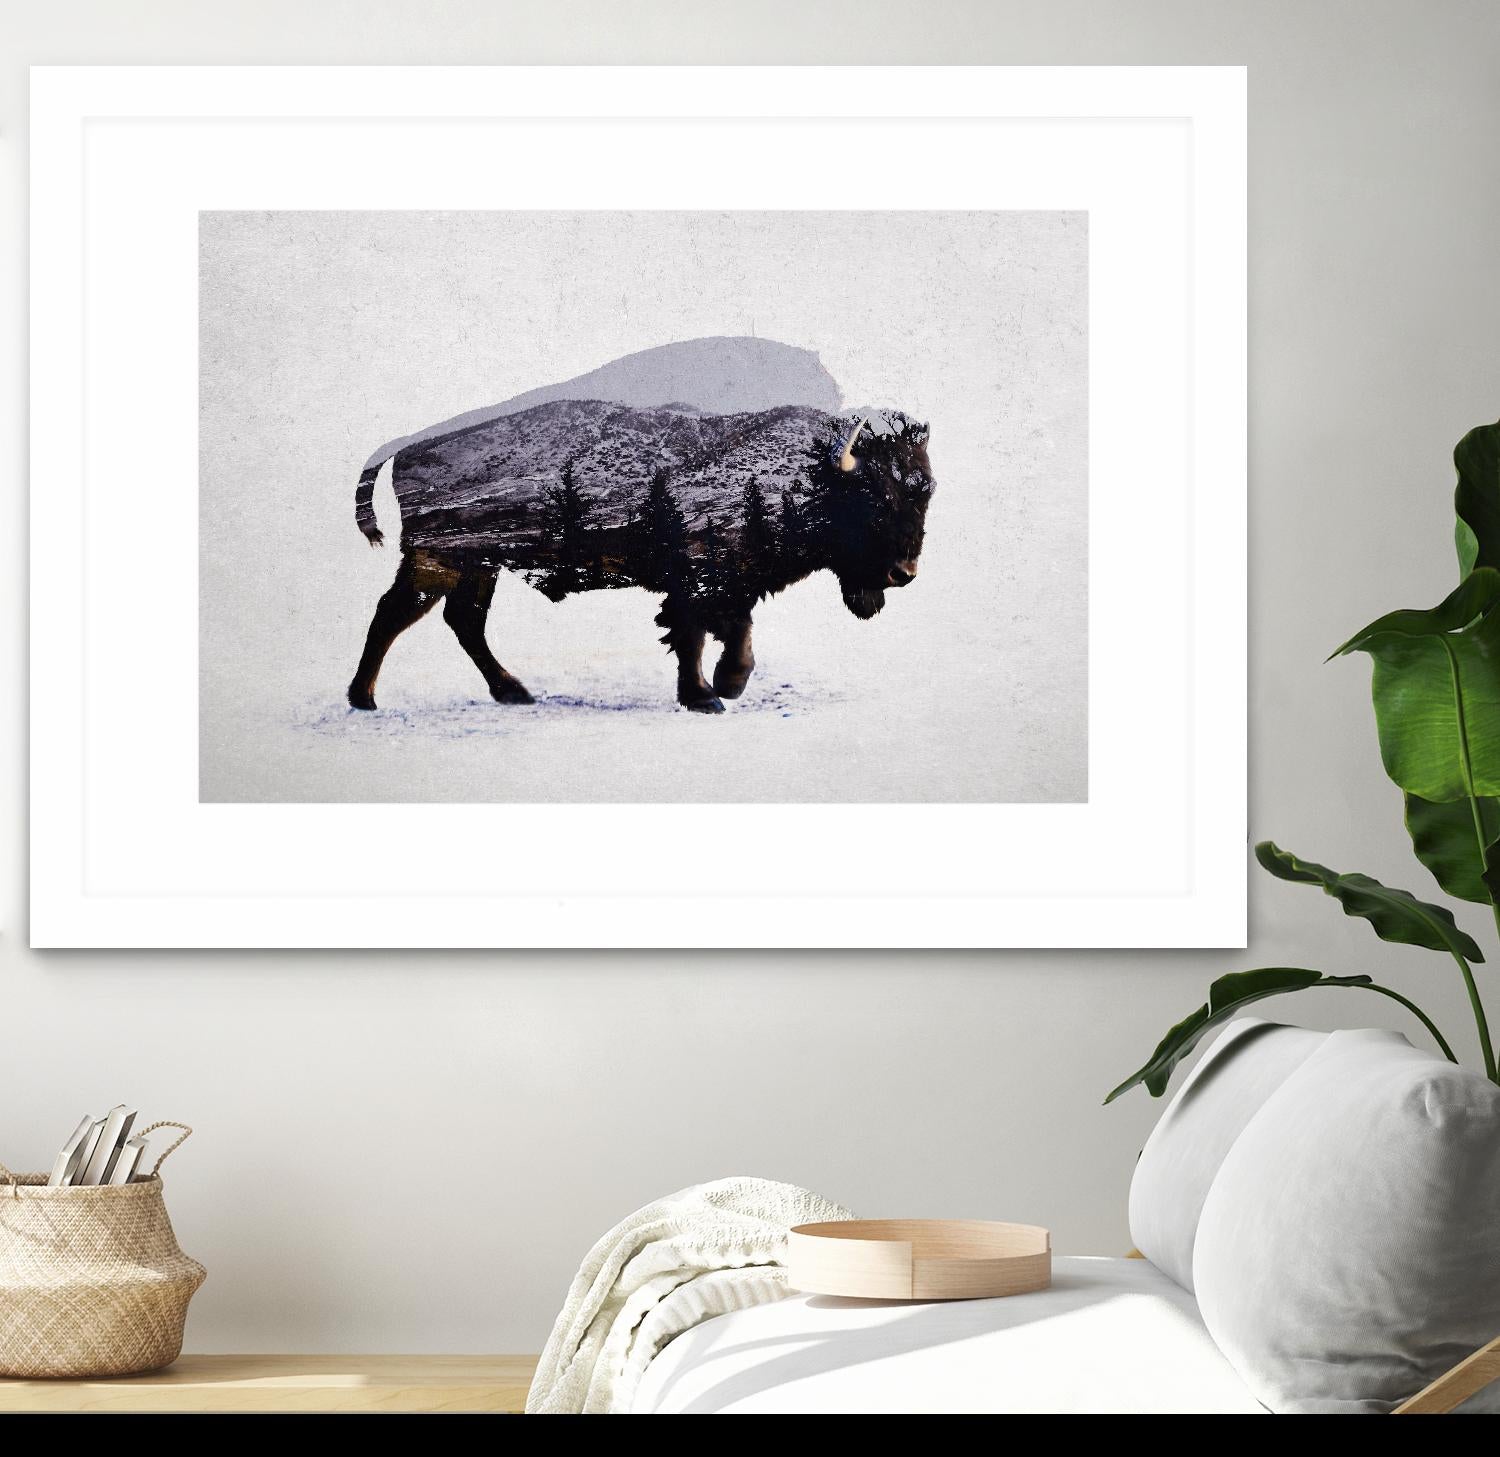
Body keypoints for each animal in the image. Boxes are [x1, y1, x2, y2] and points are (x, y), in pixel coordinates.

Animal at [348, 399, 934, 714]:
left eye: (924, 492)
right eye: (876, 498)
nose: (902, 574)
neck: (809, 470)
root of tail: (407, 445)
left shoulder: (730, 584)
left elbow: (734, 632)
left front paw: (727, 685)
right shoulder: (699, 579)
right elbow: (695, 633)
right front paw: (708, 695)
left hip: (478, 565)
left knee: (462, 620)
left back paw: (514, 692)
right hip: (437, 561)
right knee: (396, 613)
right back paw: (365, 699)